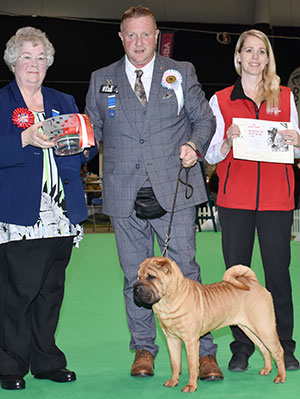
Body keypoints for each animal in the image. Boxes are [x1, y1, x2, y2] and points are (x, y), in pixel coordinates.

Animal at [134, 258, 286, 392]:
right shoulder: (172, 339)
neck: (169, 300)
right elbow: (175, 363)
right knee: (264, 349)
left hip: (264, 327)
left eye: (151, 277)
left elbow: (192, 365)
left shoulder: (190, 340)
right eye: (138, 276)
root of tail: (253, 282)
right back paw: (267, 370)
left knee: (278, 350)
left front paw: (191, 386)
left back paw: (281, 377)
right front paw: (173, 381)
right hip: (250, 329)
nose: (136, 289)